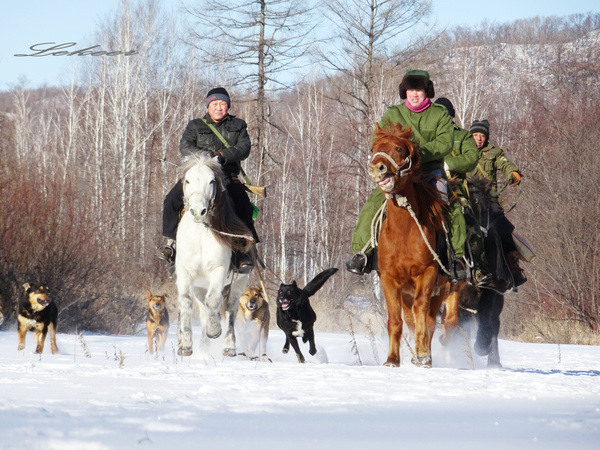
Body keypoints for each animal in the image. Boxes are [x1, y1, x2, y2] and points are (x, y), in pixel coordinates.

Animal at [176, 153, 255, 356]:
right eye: (187, 180)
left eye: (212, 181)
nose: (198, 211)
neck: (201, 233)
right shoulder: (185, 272)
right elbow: (186, 302)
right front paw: (185, 345)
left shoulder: (218, 270)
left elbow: (213, 301)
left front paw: (214, 331)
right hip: (200, 286)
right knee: (203, 310)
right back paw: (204, 347)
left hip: (239, 283)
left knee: (230, 310)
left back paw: (228, 346)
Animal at [370, 121, 464, 368]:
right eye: (373, 148)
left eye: (399, 149)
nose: (377, 168)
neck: (403, 231)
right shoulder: (389, 279)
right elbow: (395, 320)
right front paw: (392, 360)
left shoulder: (427, 273)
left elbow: (423, 313)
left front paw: (422, 354)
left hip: (442, 289)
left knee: (433, 320)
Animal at [460, 176, 516, 370]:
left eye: (486, 209)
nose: (478, 238)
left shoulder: (492, 293)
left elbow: (487, 323)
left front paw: (482, 347)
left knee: (493, 325)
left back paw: (494, 362)